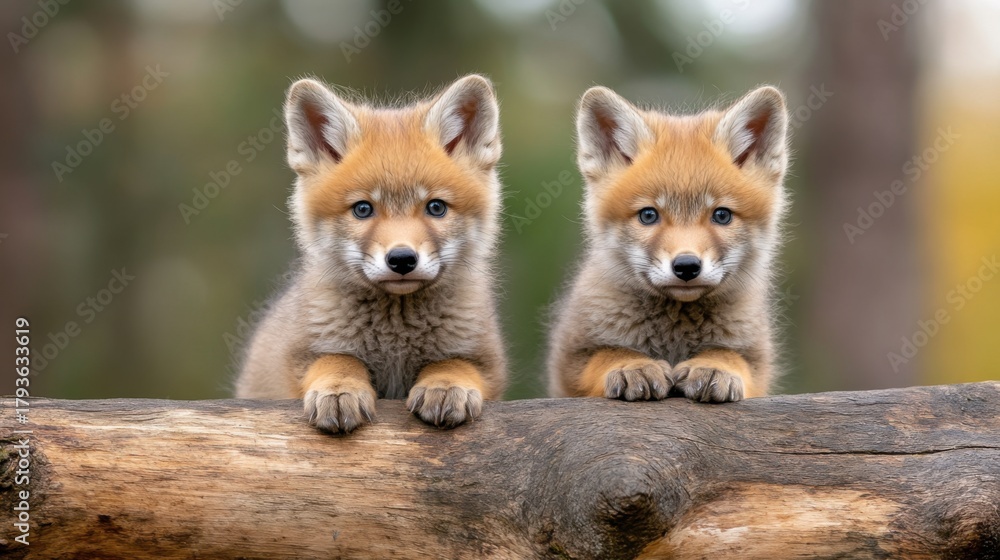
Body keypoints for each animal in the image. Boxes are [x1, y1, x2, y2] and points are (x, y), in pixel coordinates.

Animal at [235, 74, 507, 433]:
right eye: (363, 209)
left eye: (436, 207)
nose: (402, 259)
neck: (395, 339)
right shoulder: (294, 360)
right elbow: (338, 358)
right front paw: (339, 388)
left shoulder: (487, 362)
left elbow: (454, 361)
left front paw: (446, 384)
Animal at [548, 85, 790, 403]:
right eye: (649, 215)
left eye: (722, 215)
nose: (686, 266)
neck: (674, 332)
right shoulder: (570, 362)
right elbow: (610, 352)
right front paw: (633, 365)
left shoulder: (756, 363)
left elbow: (727, 354)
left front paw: (714, 366)